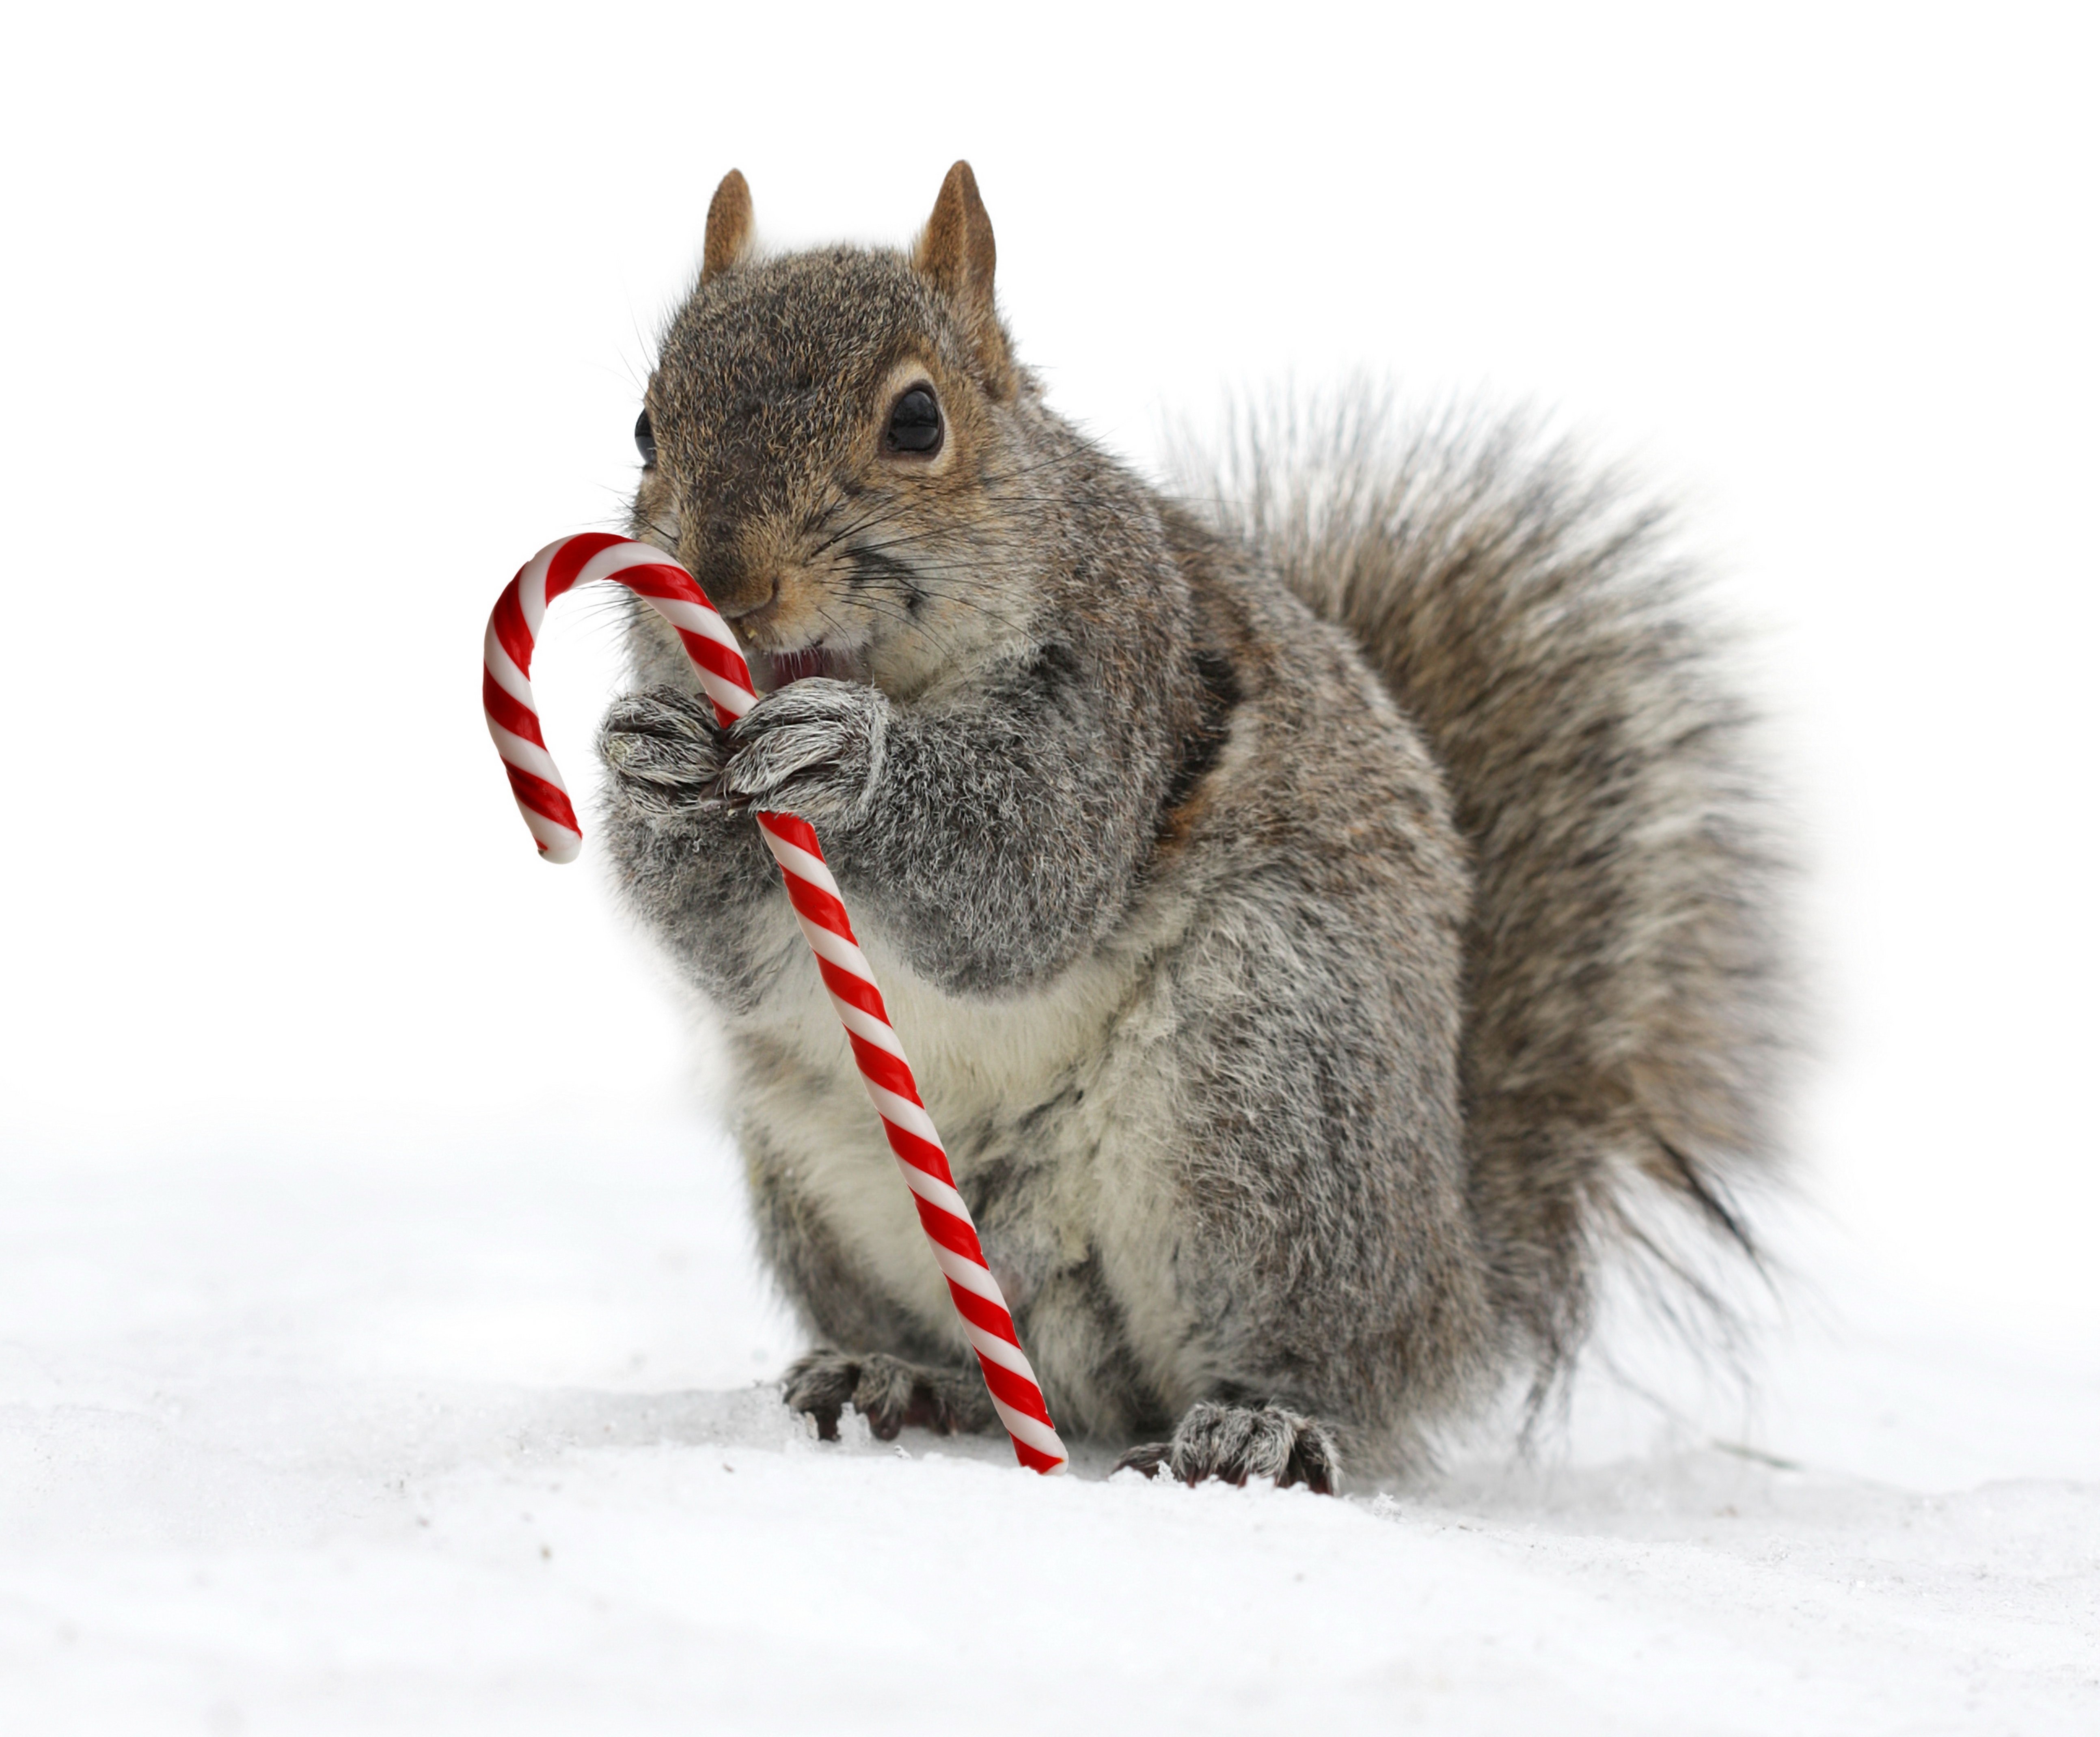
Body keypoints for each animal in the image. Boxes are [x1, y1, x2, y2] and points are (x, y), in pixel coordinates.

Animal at [596, 162, 1792, 1489]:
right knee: (990, 1364)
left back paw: (1255, 1423)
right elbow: (722, 944)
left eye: (917, 421)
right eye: (645, 426)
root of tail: (1452, 1287)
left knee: (1312, 1361)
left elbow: (1026, 874)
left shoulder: (1127, 685)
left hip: (1272, 1097)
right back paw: (900, 1374)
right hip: (824, 1167)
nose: (722, 581)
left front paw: (850, 757)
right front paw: (647, 765)